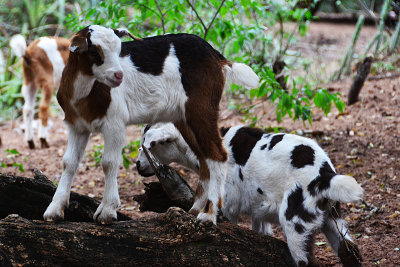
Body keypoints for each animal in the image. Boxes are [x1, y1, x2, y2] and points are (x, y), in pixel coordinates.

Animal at [42, 26, 258, 225]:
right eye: (95, 52)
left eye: (119, 50)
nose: (119, 76)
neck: (84, 92)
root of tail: (216, 55)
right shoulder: (76, 125)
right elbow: (69, 162)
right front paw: (54, 210)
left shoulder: (114, 122)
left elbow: (109, 162)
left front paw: (107, 211)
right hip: (183, 117)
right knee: (204, 157)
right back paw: (196, 210)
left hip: (202, 107)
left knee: (218, 155)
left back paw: (208, 215)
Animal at [137, 124, 362, 267]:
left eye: (146, 147)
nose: (138, 166)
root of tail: (325, 175)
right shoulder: (258, 212)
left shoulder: (229, 207)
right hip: (332, 219)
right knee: (351, 254)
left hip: (296, 224)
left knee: (306, 262)